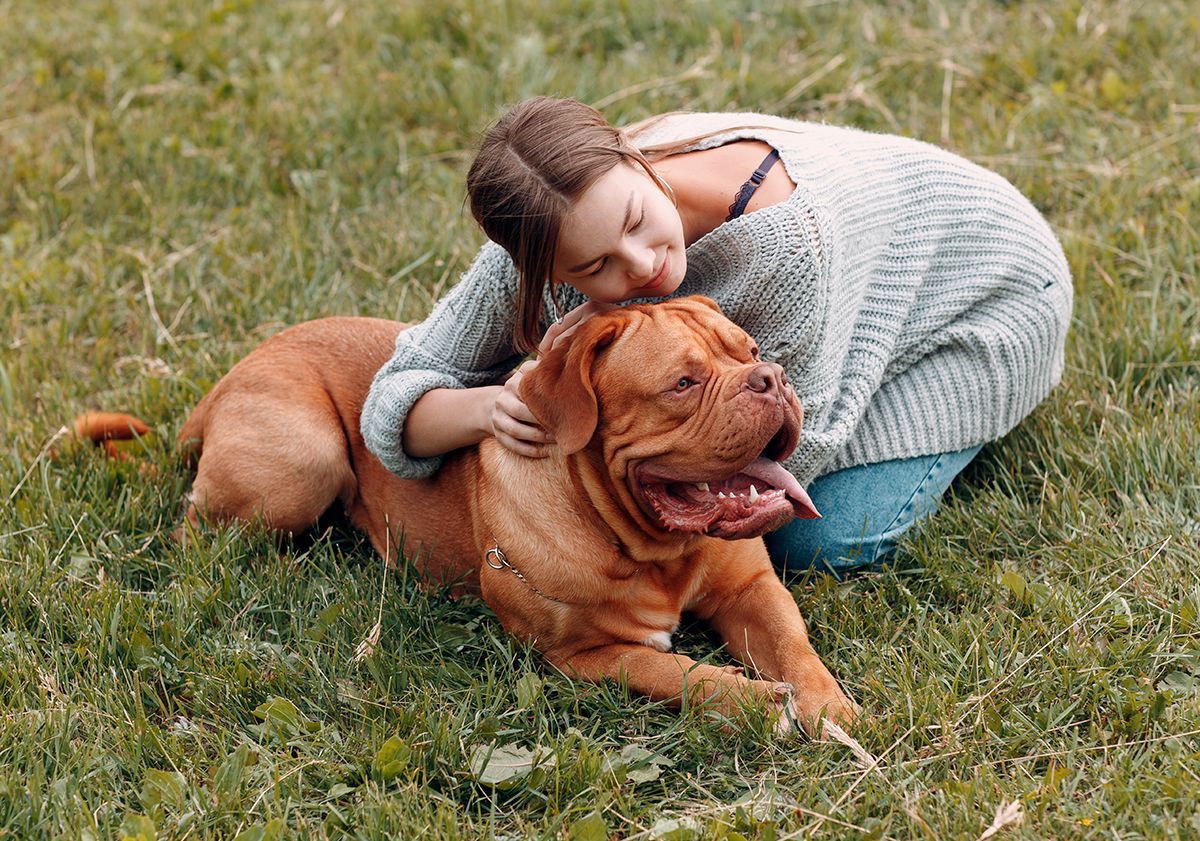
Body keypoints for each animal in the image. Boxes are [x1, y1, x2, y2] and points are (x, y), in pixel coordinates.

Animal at [175, 298, 854, 729]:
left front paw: (830, 708)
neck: (647, 548)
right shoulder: (584, 655)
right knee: (199, 528)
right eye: (683, 384)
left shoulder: (751, 589)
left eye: (753, 349)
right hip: (303, 466)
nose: (771, 376)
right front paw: (756, 702)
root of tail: (238, 368)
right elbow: (674, 671)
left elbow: (794, 645)